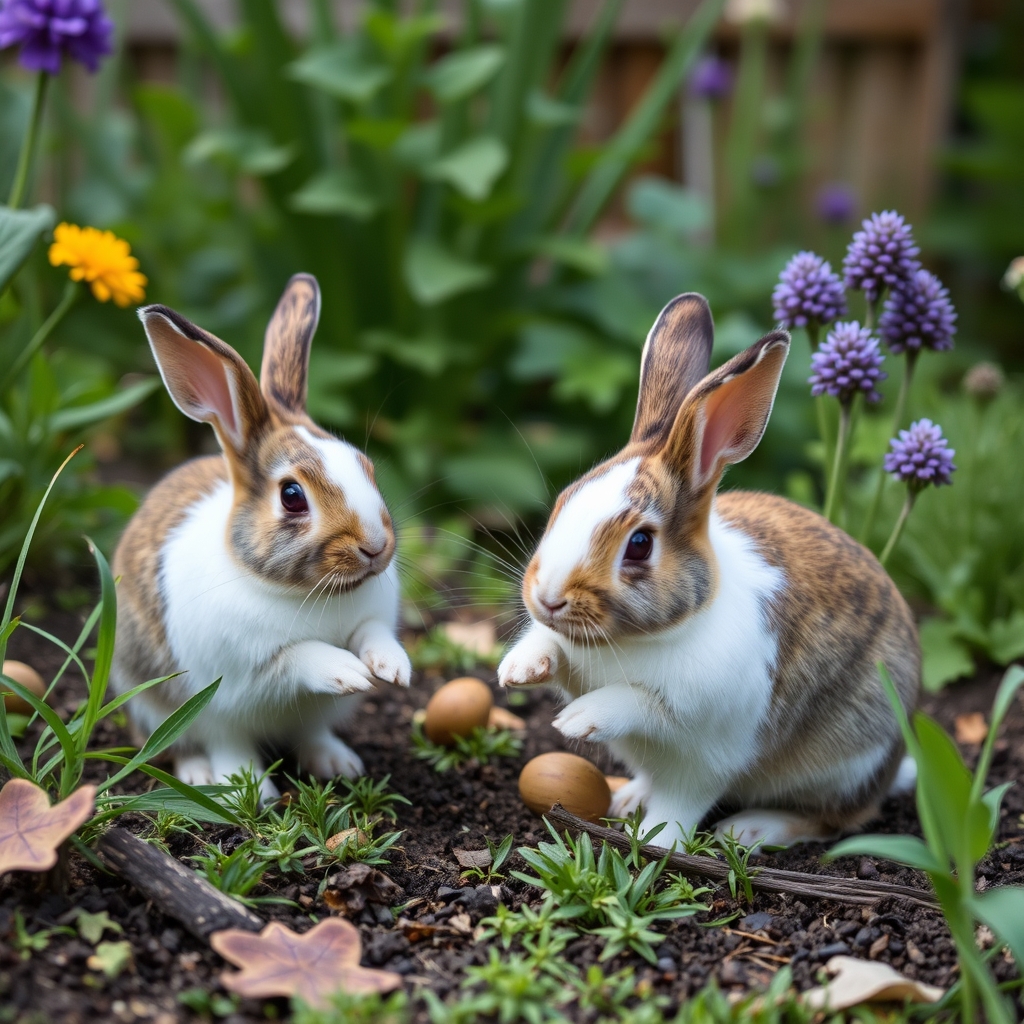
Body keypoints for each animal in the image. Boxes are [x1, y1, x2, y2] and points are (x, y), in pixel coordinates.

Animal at [111, 274, 411, 800]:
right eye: (292, 496)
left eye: (366, 466)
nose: (376, 549)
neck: (305, 592)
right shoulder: (245, 671)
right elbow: (299, 656)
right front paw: (348, 672)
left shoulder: (369, 619)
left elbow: (372, 634)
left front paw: (391, 668)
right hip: (160, 704)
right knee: (200, 743)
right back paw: (233, 786)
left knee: (311, 732)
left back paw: (339, 764)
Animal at [498, 293, 920, 848]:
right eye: (564, 501)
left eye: (639, 545)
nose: (547, 598)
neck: (644, 638)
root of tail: (894, 769)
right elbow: (548, 644)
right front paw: (517, 670)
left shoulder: (698, 742)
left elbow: (641, 716)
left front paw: (582, 725)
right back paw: (627, 797)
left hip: (846, 766)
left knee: (836, 819)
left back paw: (751, 828)